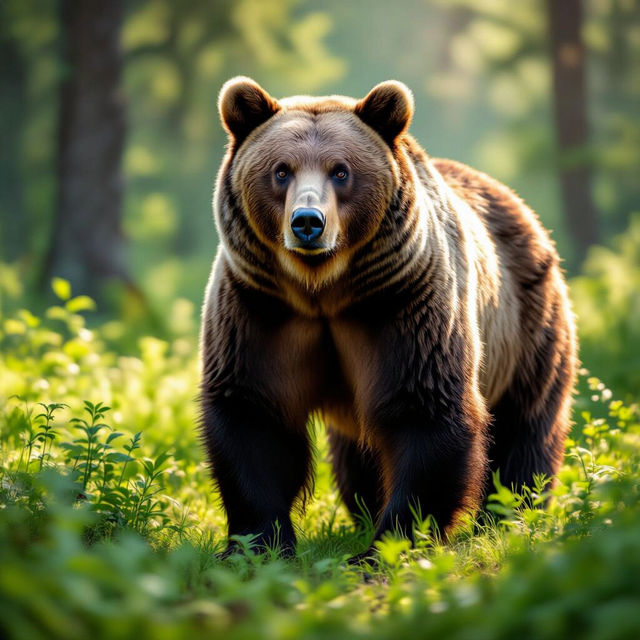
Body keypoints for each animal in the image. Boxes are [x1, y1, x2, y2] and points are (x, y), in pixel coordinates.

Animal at [199, 76, 577, 558]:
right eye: (281, 170)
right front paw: (258, 544)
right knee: (356, 457)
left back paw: (508, 515)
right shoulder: (259, 308)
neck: (323, 291)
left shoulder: (404, 304)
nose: (308, 222)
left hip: (528, 327)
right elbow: (252, 413)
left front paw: (387, 546)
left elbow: (424, 411)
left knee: (524, 429)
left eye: (340, 170)